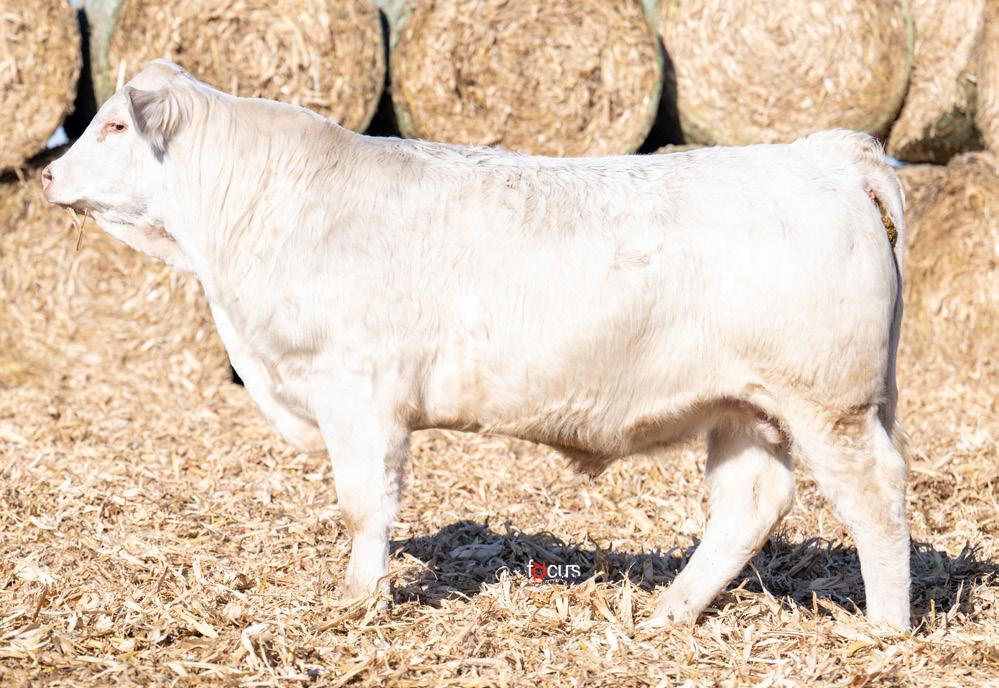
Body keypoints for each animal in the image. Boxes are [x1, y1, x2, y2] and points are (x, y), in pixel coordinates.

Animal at [42, 60, 912, 630]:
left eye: (113, 124)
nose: (48, 175)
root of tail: (818, 153)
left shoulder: (359, 393)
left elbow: (364, 505)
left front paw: (358, 600)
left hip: (828, 404)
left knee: (875, 500)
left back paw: (883, 630)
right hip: (741, 407)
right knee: (750, 503)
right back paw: (668, 612)